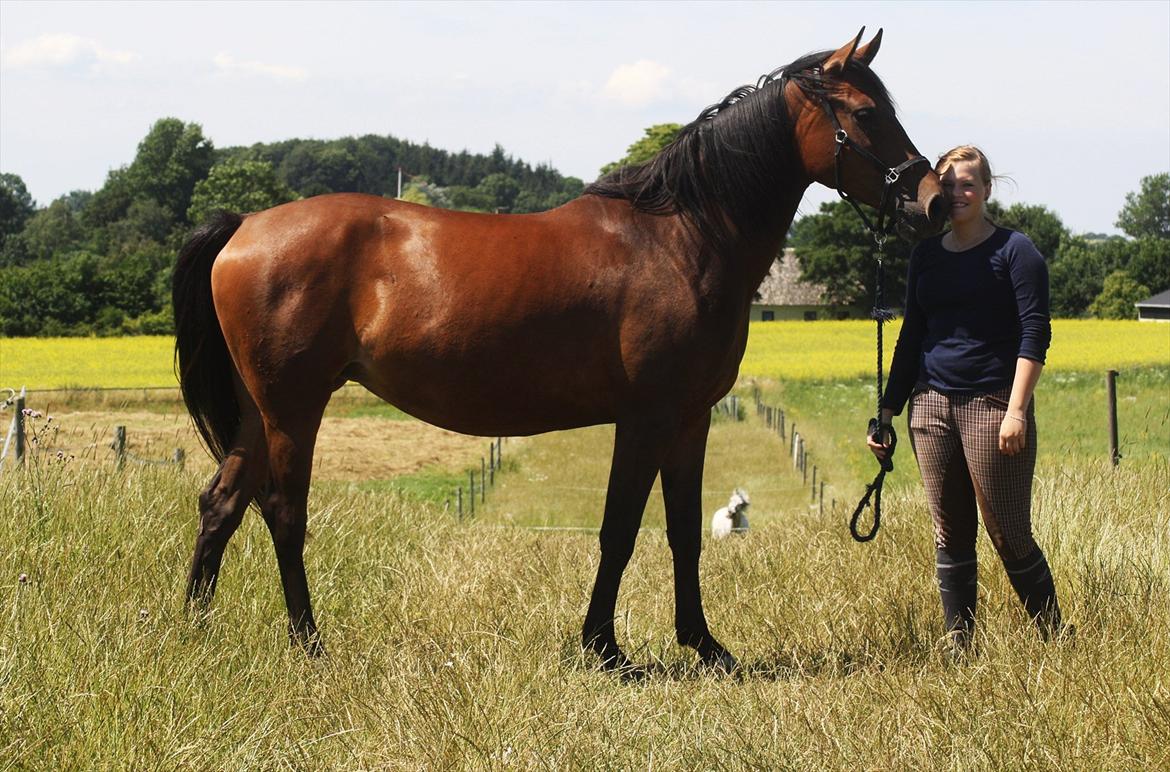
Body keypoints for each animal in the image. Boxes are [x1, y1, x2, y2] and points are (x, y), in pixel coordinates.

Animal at [170, 27, 940, 673]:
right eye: (865, 113)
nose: (929, 200)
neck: (683, 238)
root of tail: (245, 224)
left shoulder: (690, 420)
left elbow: (685, 531)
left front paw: (704, 645)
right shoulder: (645, 418)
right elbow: (620, 530)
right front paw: (604, 649)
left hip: (258, 412)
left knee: (221, 504)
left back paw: (196, 634)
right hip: (293, 410)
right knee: (282, 511)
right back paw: (309, 643)